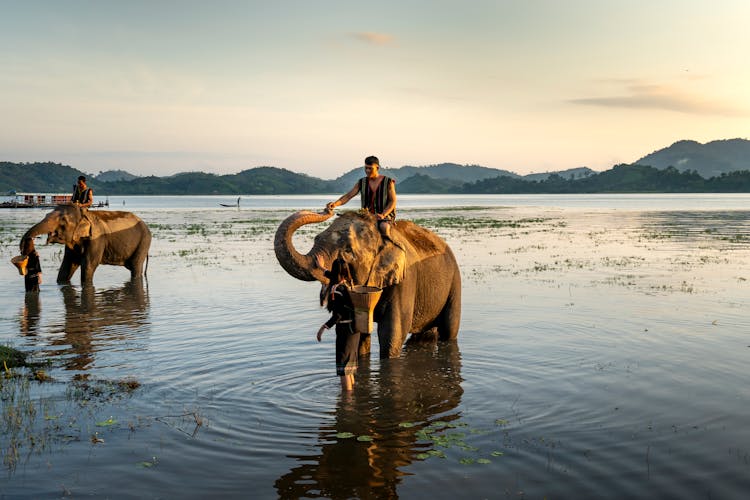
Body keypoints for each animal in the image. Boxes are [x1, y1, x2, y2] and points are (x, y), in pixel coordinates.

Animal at [20, 204, 151, 286]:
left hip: (144, 241)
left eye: (63, 220)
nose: (24, 248)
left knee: (136, 266)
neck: (84, 214)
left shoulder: (97, 240)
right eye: (46, 214)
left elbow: (89, 265)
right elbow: (68, 265)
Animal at [274, 209, 462, 358]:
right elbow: (358, 335)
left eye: (348, 251)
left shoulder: (405, 280)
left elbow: (392, 333)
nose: (329, 208)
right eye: (316, 238)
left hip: (455, 281)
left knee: (449, 331)